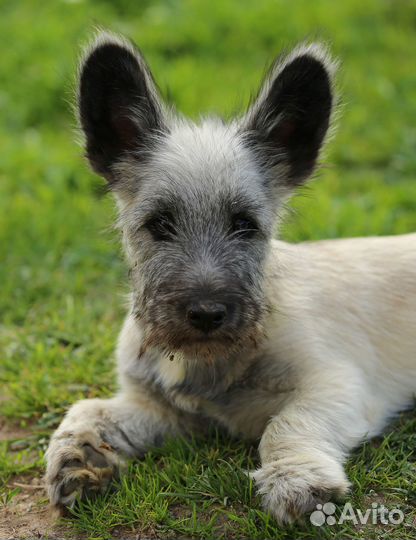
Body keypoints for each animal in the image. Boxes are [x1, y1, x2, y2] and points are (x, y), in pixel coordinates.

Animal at [44, 32, 416, 524]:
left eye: (245, 225)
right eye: (159, 224)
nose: (206, 313)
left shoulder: (335, 383)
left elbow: (286, 425)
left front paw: (296, 478)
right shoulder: (159, 410)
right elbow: (89, 409)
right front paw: (77, 458)